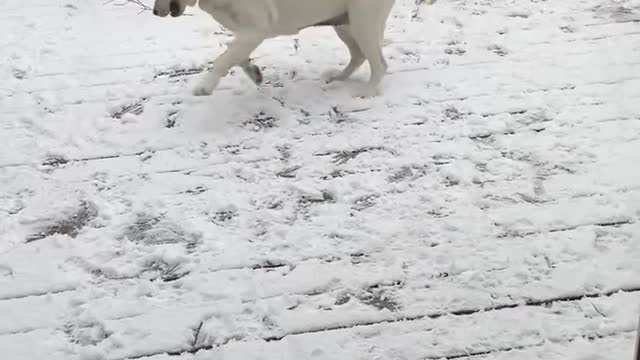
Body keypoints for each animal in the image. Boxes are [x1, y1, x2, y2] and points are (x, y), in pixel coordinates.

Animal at [154, 0, 396, 96]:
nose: (155, 12)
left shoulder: (256, 30)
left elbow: (223, 59)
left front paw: (205, 86)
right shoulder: (246, 34)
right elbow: (235, 57)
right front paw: (254, 73)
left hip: (363, 22)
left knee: (380, 64)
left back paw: (367, 91)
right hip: (345, 25)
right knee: (358, 56)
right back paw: (339, 77)